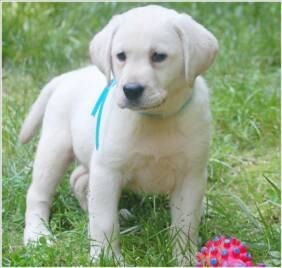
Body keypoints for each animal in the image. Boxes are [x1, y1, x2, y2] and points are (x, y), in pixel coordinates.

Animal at [20, 4, 218, 266]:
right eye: (121, 56)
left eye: (158, 56)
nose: (131, 90)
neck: (156, 118)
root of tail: (69, 75)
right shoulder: (108, 170)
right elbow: (104, 222)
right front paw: (106, 258)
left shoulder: (191, 176)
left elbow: (185, 226)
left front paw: (184, 259)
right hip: (54, 147)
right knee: (38, 194)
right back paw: (37, 235)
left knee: (79, 179)